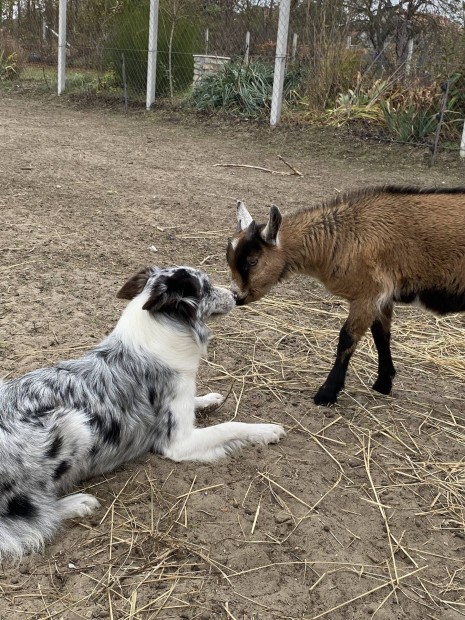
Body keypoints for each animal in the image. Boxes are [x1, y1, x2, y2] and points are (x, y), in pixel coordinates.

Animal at [0, 266, 284, 560]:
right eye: (205, 287)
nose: (236, 295)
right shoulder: (178, 443)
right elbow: (231, 426)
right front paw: (266, 430)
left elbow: (198, 402)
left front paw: (209, 399)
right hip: (74, 424)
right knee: (34, 516)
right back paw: (77, 503)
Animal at [227, 184, 464, 406]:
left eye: (252, 261)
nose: (237, 296)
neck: (342, 237)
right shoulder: (382, 298)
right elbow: (381, 335)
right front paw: (383, 384)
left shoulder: (368, 294)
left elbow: (347, 338)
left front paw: (326, 393)